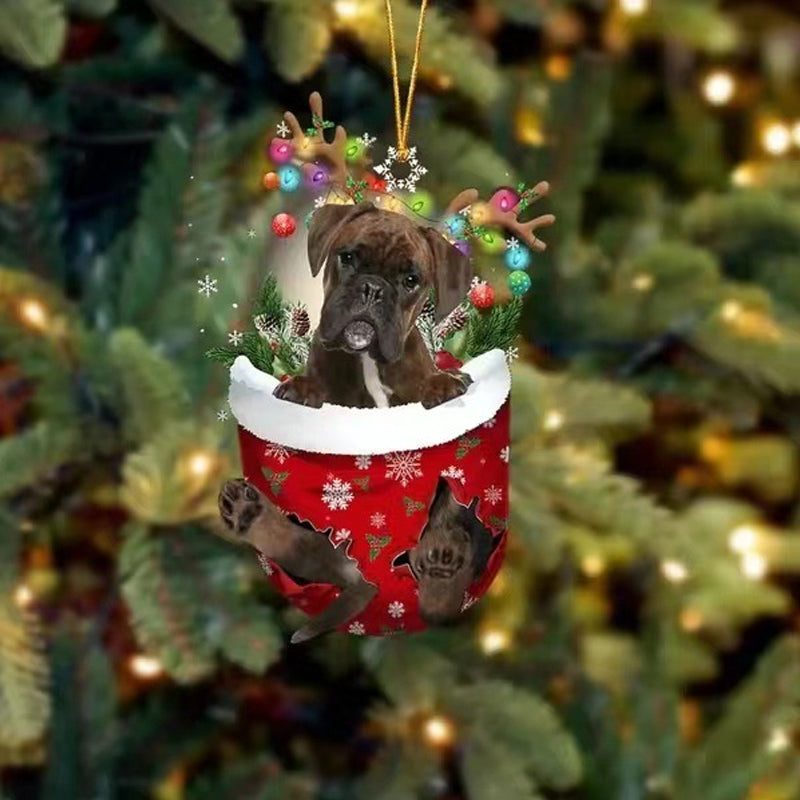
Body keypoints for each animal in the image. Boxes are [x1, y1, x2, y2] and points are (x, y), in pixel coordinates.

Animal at [220, 202, 494, 644]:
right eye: (347, 257)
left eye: (411, 279)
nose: (372, 289)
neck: (366, 361)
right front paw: (300, 388)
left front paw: (446, 383)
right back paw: (250, 514)